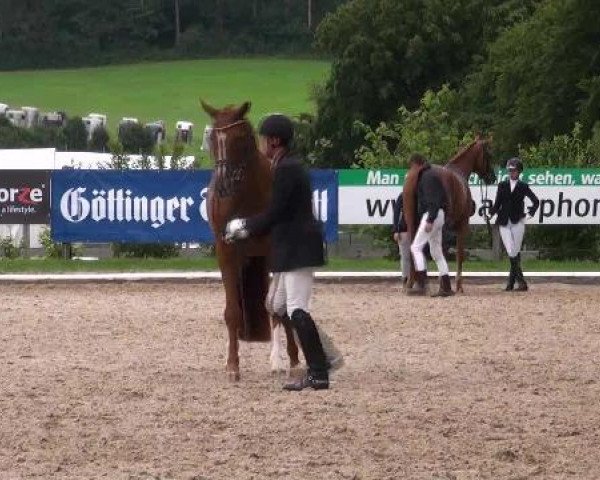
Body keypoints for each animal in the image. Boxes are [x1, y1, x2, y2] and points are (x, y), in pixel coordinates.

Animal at [200, 100, 298, 378]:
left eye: (240, 137)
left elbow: (276, 308)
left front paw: (285, 360)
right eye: (212, 138)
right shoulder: (225, 251)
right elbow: (232, 311)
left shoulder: (272, 253)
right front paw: (233, 365)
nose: (222, 183)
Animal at [400, 136, 494, 292]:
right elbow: (458, 253)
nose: (492, 177)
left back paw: (412, 283)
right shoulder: (462, 224)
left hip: (412, 221)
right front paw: (457, 285)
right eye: (488, 155)